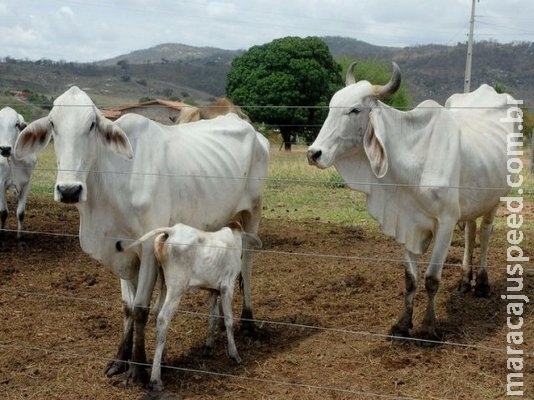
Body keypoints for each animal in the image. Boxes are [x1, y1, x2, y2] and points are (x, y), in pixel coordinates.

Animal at [0, 106, 35, 242]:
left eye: (16, 124)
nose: (5, 149)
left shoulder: (26, 183)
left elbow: (20, 213)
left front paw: (20, 237)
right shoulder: (0, 183)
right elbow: (3, 212)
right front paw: (2, 233)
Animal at [118, 220, 264, 392]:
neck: (233, 239)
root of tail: (172, 231)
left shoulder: (213, 290)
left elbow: (213, 316)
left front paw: (208, 347)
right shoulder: (227, 287)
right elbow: (228, 320)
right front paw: (234, 354)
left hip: (164, 284)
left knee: (157, 312)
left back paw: (163, 362)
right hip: (177, 287)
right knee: (163, 318)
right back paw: (155, 379)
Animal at [308, 61, 520, 340]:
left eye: (355, 110)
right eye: (331, 106)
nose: (314, 153)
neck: (414, 161)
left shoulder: (446, 222)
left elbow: (431, 279)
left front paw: (428, 328)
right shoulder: (406, 222)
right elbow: (411, 280)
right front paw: (402, 324)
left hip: (495, 198)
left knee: (484, 233)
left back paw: (482, 284)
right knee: (470, 232)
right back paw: (465, 280)